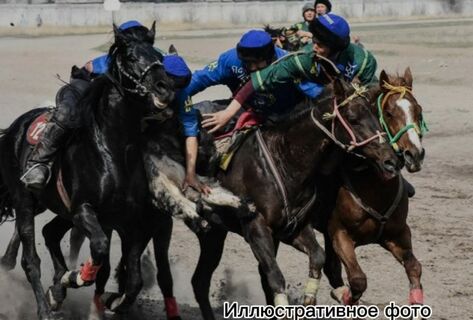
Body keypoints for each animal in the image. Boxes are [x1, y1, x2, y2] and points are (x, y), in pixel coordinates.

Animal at [0, 23, 174, 320]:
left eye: (157, 54)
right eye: (130, 57)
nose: (164, 86)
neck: (114, 150)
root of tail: (15, 128)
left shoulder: (130, 222)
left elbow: (134, 279)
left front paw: (113, 302)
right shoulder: (85, 210)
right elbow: (101, 251)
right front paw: (74, 278)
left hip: (56, 208)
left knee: (49, 233)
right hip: (25, 202)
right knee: (30, 260)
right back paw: (45, 307)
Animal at [314, 69, 428, 308]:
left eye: (418, 111)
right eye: (389, 113)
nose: (415, 155)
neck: (375, 187)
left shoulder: (397, 234)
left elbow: (414, 267)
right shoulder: (339, 234)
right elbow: (358, 280)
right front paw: (343, 295)